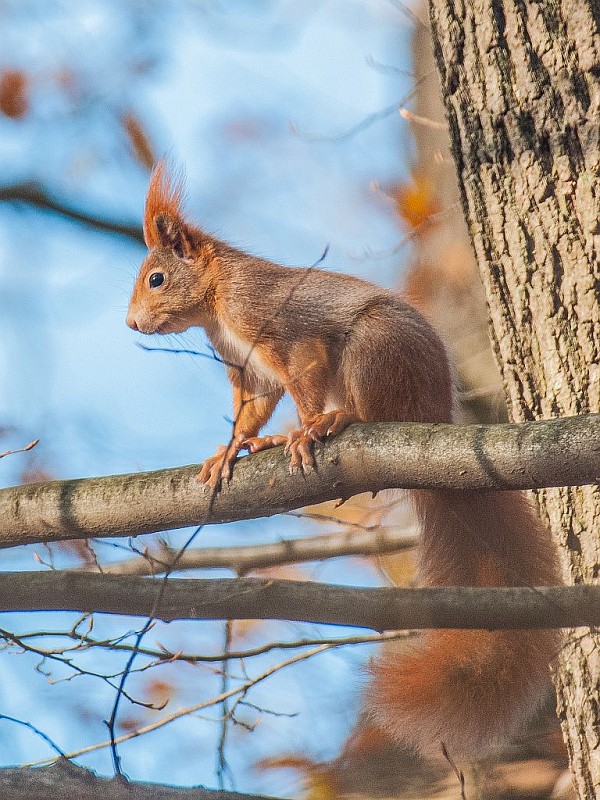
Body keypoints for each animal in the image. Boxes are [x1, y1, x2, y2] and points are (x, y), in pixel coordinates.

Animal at [127, 161, 564, 756]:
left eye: (156, 279)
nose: (131, 324)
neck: (217, 304)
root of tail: (436, 415)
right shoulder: (248, 368)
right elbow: (252, 407)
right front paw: (233, 448)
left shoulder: (281, 328)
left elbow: (302, 378)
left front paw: (304, 429)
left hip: (372, 351)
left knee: (368, 406)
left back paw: (338, 420)